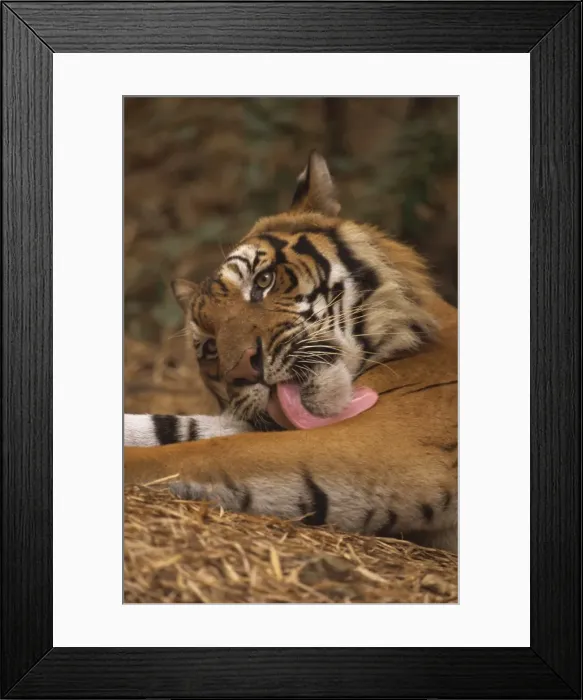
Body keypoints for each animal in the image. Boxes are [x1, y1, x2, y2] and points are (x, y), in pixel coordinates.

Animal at [124, 151, 458, 552]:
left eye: (263, 281)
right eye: (209, 347)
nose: (243, 371)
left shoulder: (386, 438)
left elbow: (203, 451)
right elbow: (172, 426)